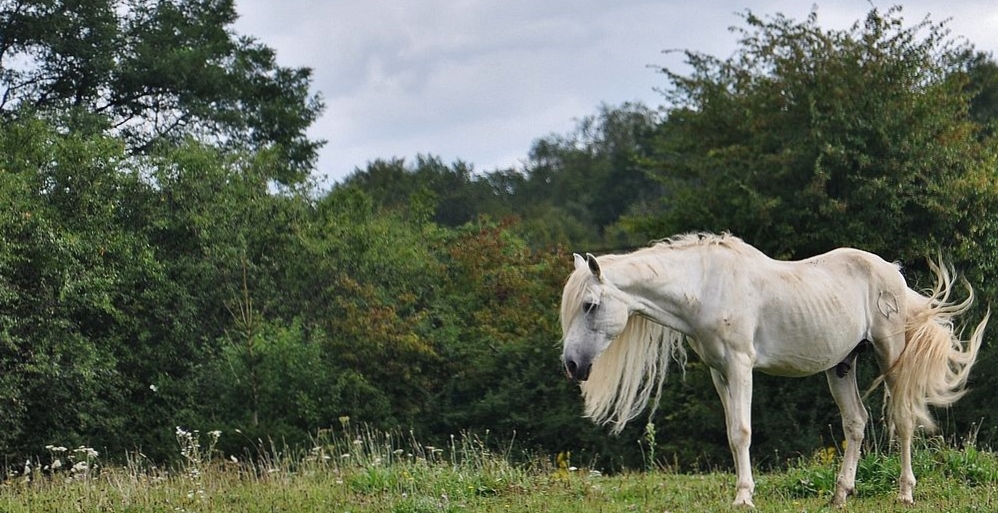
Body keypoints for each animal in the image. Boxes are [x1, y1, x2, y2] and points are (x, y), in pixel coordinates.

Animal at [564, 234, 992, 506]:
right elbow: (731, 434)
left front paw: (743, 497)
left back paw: (905, 493)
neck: (705, 286)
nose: (571, 364)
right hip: (842, 365)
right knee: (856, 422)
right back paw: (841, 494)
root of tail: (894, 273)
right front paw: (742, 491)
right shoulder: (719, 372)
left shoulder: (741, 366)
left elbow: (742, 431)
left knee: (901, 419)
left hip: (890, 354)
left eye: (589, 305)